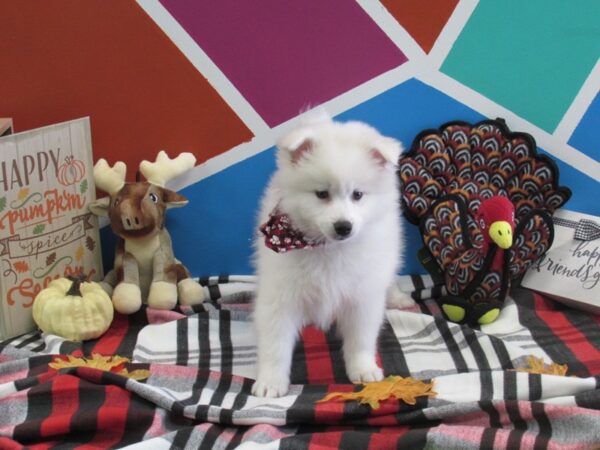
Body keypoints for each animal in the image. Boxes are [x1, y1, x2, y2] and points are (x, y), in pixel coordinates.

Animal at [251, 112, 414, 398]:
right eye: (321, 194)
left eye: (358, 194)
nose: (343, 226)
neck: (325, 247)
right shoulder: (280, 294)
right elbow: (275, 342)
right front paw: (270, 381)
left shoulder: (363, 294)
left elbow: (361, 337)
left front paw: (363, 368)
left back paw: (398, 297)